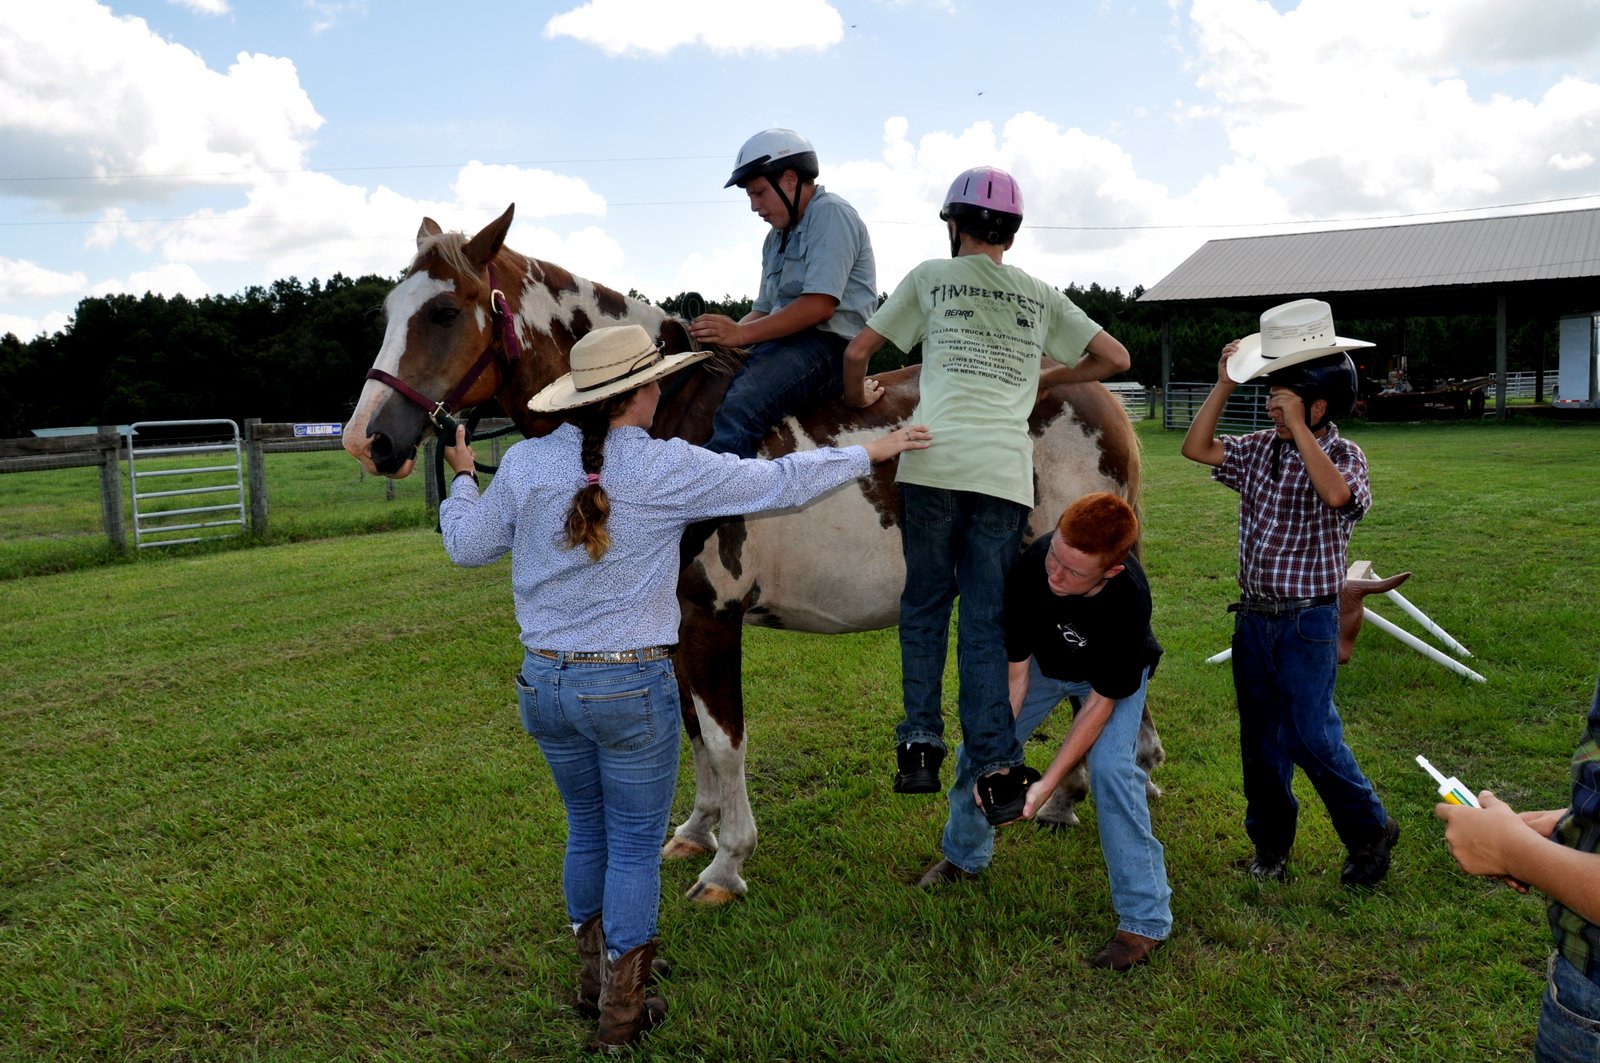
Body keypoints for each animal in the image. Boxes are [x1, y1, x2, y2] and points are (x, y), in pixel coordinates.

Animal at [340, 203, 1164, 902]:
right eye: (388, 312)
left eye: (444, 311)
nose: (366, 439)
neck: (662, 422)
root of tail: (1098, 399)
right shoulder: (668, 628)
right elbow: (695, 737)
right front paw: (694, 831)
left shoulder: (711, 620)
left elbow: (725, 738)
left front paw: (728, 862)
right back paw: (1066, 797)